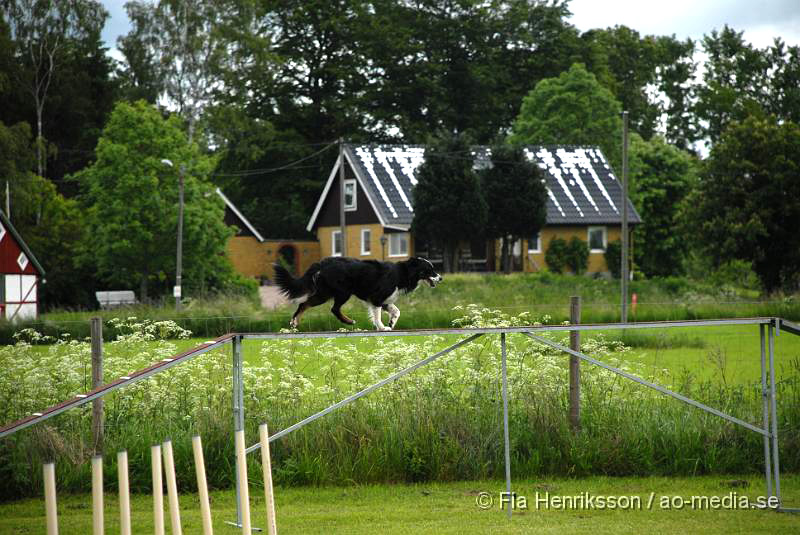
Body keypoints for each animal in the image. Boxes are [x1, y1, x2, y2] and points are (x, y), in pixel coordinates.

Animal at [272, 256, 440, 330]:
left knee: (306, 304)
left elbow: (396, 311)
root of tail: (322, 263)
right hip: (340, 292)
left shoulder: (384, 300)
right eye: (429, 270)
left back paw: (294, 322)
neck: (403, 273)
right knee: (327, 307)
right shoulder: (377, 298)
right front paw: (382, 327)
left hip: (327, 292)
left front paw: (391, 322)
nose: (441, 278)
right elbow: (378, 316)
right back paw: (348, 321)